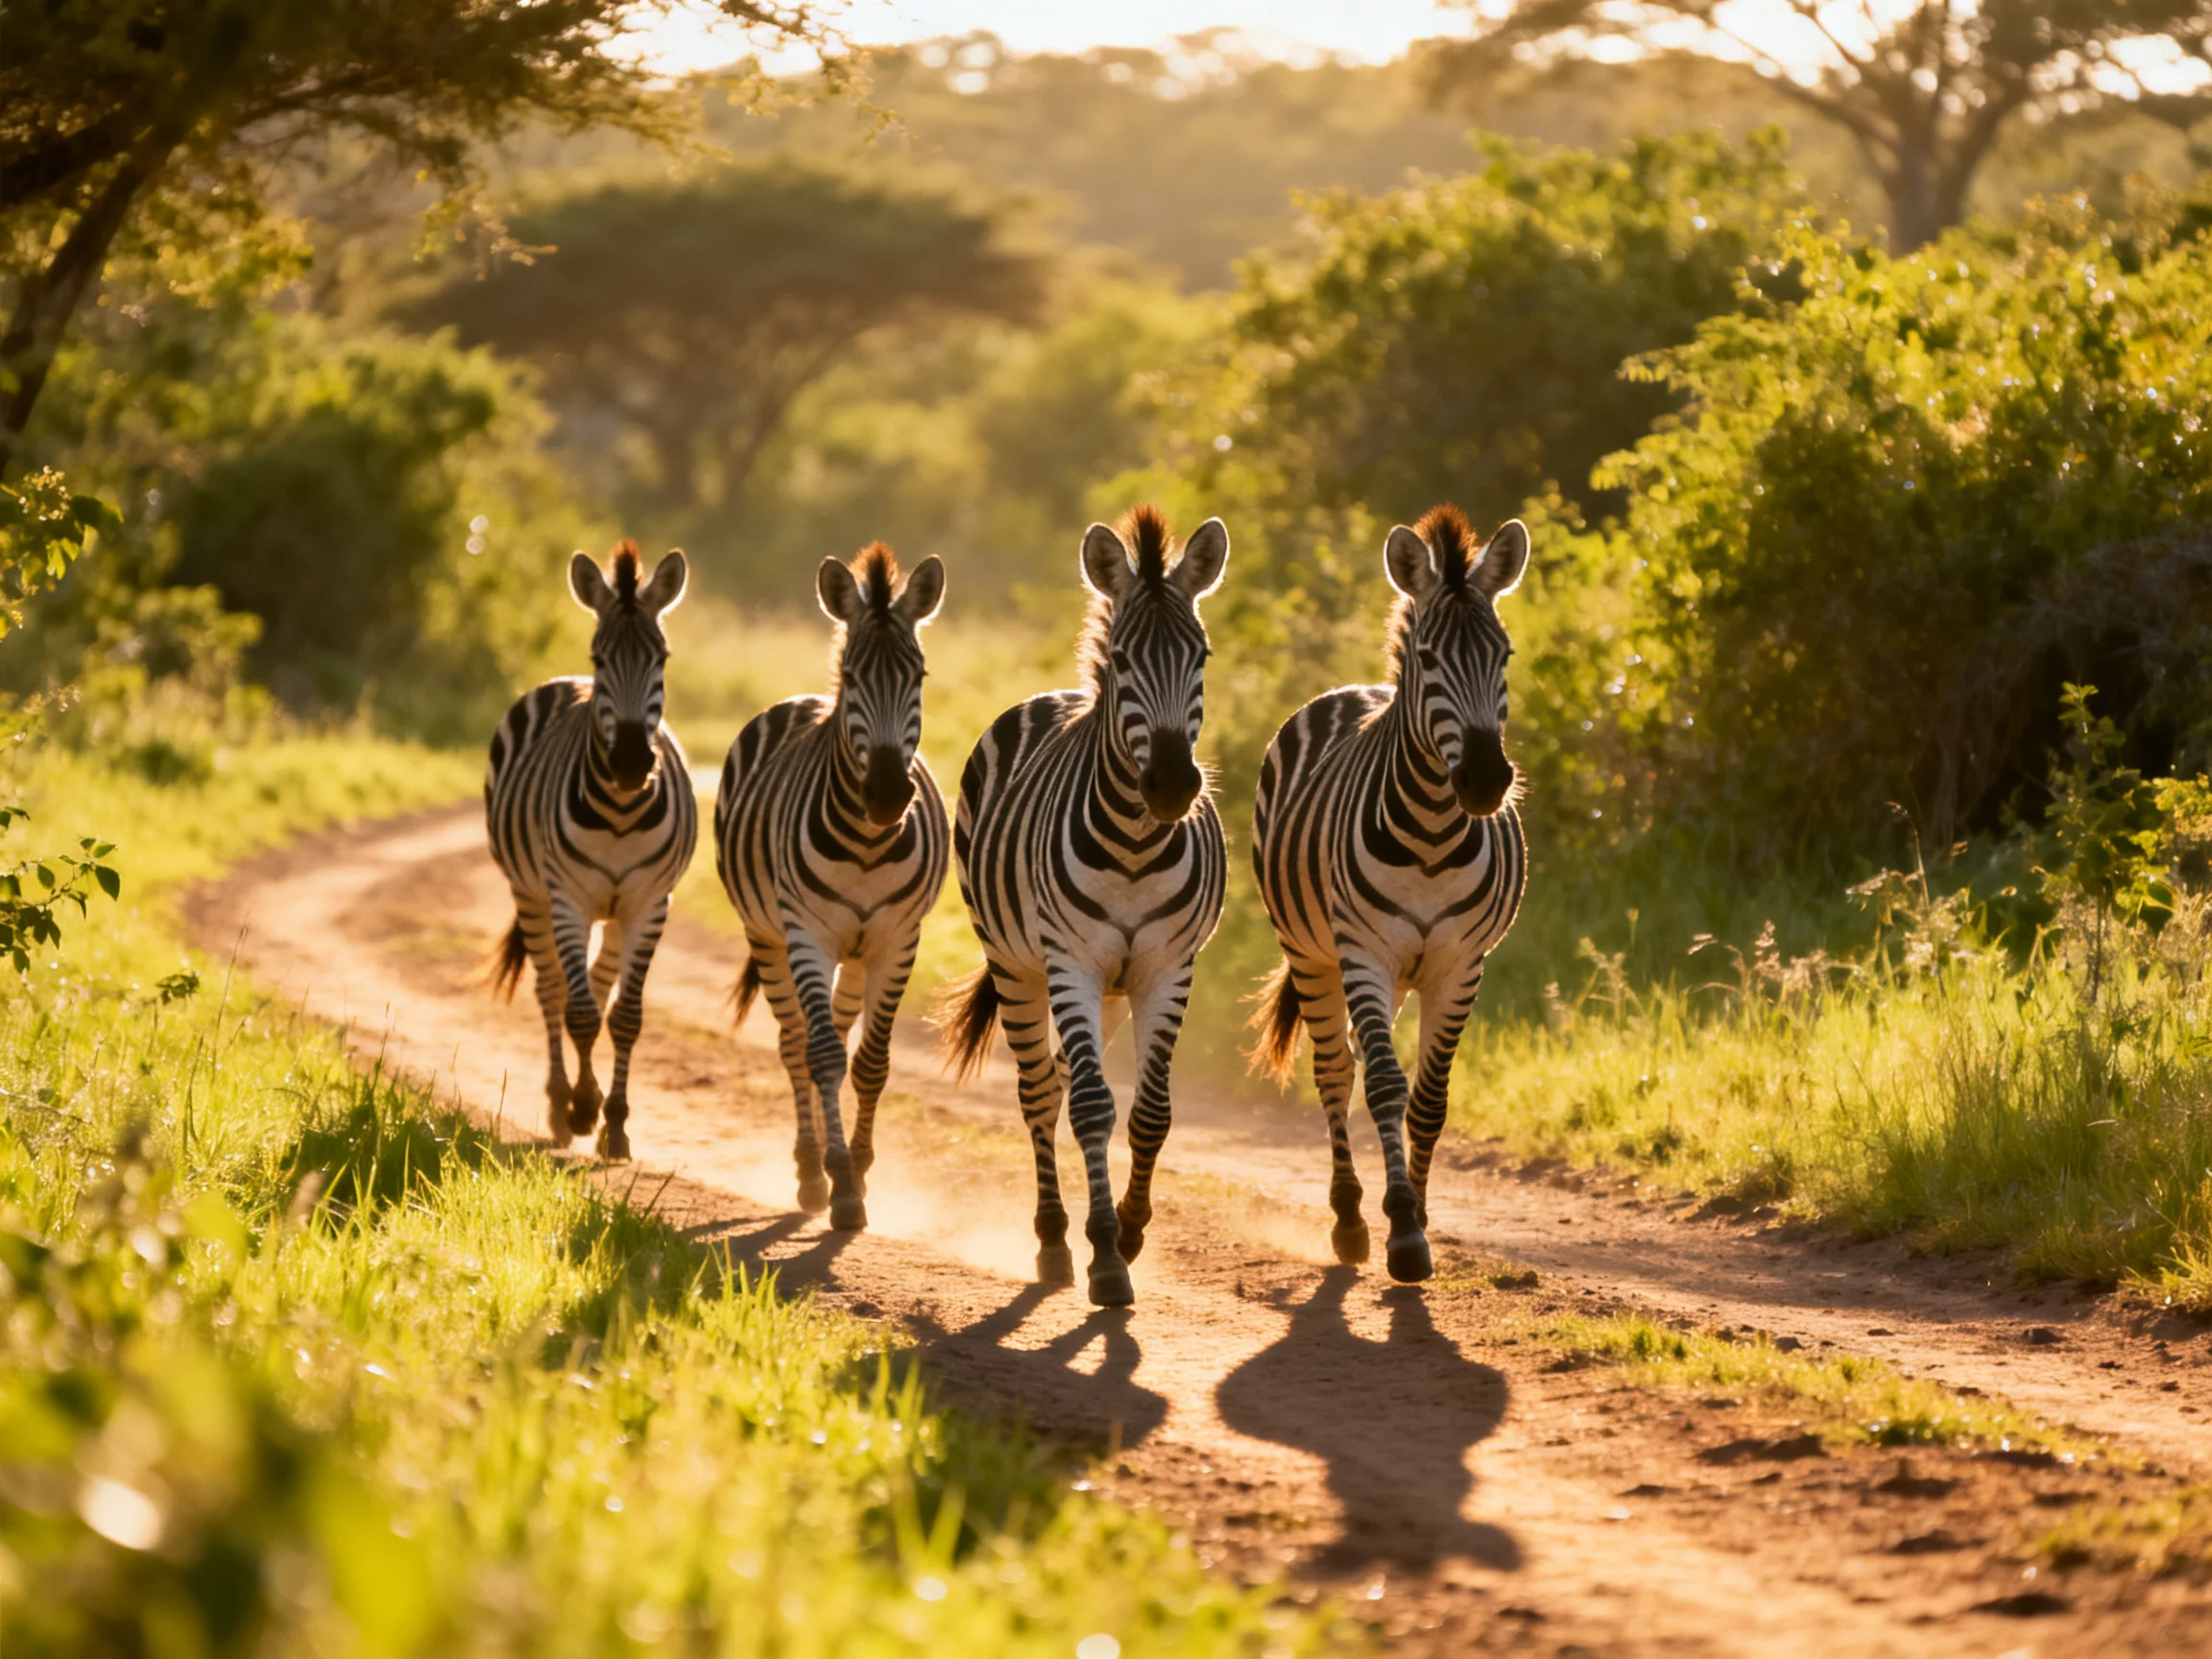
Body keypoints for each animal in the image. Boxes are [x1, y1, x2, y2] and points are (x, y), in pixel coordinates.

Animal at [487, 540, 697, 1163]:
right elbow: (577, 1011)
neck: (620, 813)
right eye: (601, 657)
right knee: (553, 989)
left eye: (662, 657)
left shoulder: (651, 903)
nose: (629, 762)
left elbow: (624, 1017)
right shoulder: (568, 899)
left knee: (597, 989)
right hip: (530, 893)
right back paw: (562, 1104)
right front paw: (581, 1109)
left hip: (617, 910)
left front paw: (617, 1124)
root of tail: (565, 681)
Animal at [714, 542, 949, 1233]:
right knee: (797, 1043)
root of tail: (800, 701)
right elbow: (817, 1054)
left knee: (840, 1038)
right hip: (767, 935)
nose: (888, 794)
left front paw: (862, 1170)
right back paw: (808, 1169)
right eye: (851, 676)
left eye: (919, 676)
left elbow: (870, 1061)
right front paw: (839, 1184)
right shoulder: (807, 934)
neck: (867, 845)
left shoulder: (899, 939)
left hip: (857, 950)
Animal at [940, 505, 1230, 1307]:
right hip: (1017, 963)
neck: (1133, 846)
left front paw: (1129, 1232)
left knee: (1068, 1077)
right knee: (1041, 1091)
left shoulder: (1167, 968)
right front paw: (1103, 1258)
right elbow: (1093, 1106)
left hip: (1109, 991)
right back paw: (1051, 1243)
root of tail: (1055, 696)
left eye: (1202, 656)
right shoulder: (1069, 961)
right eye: (1124, 660)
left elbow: (1151, 1110)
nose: (1172, 786)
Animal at [1248, 505, 1529, 1284]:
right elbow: (1381, 1084)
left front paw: (1422, 1220)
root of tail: (1354, 689)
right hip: (1314, 953)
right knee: (1336, 1068)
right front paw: (1399, 1228)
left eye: (1505, 655)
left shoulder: (1460, 964)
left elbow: (1428, 1099)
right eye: (1428, 659)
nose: (1486, 782)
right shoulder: (1365, 952)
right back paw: (1348, 1221)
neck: (1431, 836)